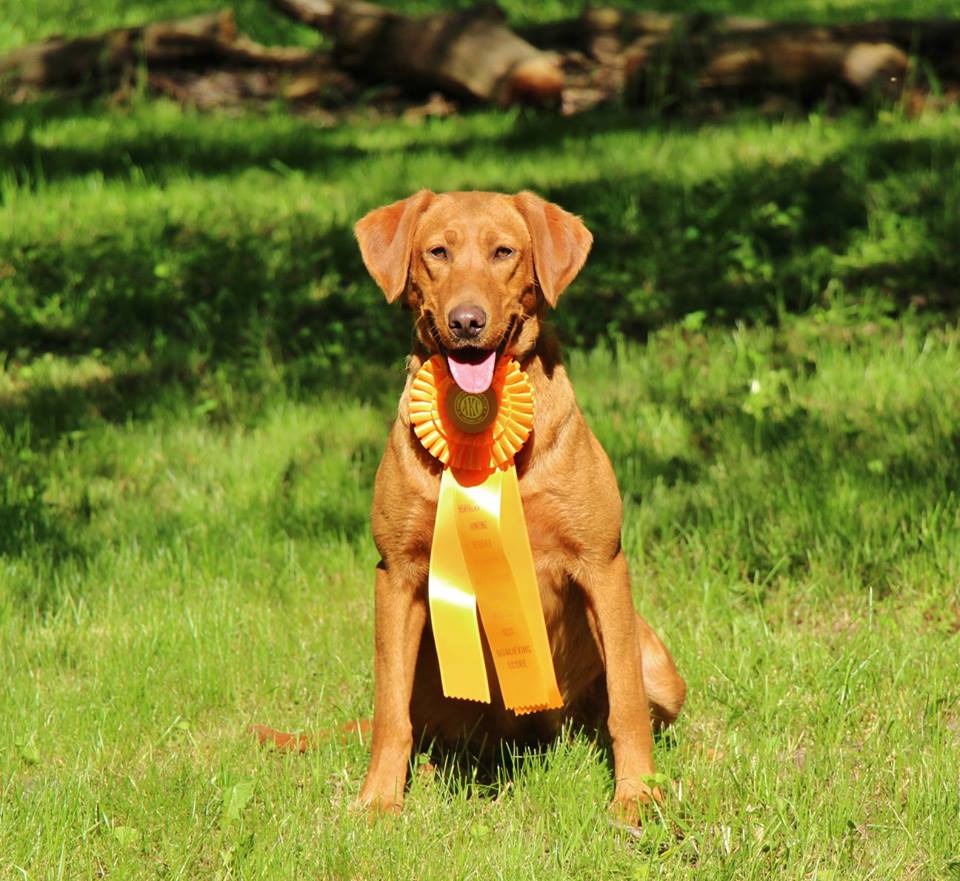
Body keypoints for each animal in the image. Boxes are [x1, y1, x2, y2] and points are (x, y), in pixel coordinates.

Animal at [350, 191, 684, 820]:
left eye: (503, 252)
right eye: (438, 252)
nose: (467, 321)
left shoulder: (602, 564)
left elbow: (626, 705)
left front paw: (637, 796)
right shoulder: (396, 572)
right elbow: (389, 713)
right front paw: (379, 800)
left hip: (657, 662)